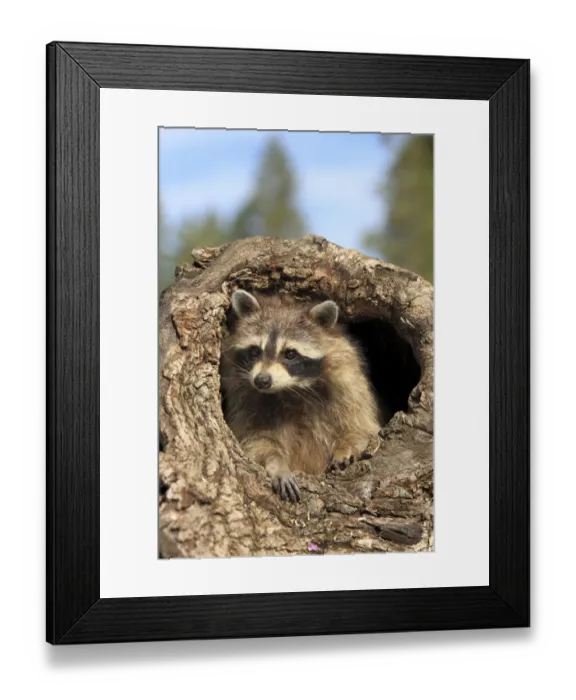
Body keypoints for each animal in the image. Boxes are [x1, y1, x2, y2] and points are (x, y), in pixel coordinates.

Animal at [221, 290, 381, 502]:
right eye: (255, 351)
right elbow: (257, 440)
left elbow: (363, 427)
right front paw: (277, 464)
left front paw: (347, 445)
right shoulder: (246, 398)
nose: (262, 380)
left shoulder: (349, 384)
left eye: (290, 354)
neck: (292, 390)